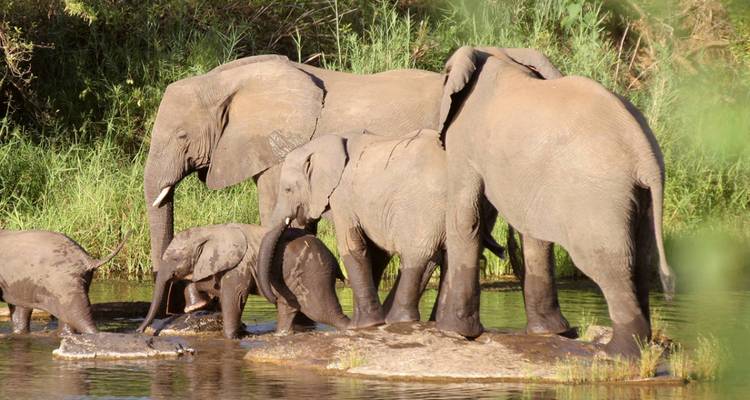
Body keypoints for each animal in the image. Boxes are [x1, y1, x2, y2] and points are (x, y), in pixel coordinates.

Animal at [137, 224, 350, 339]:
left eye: (175, 259)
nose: (139, 331)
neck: (208, 231)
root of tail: (333, 257)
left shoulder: (239, 266)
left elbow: (234, 296)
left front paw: (231, 337)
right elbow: (208, 284)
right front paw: (196, 305)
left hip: (313, 273)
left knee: (320, 310)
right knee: (287, 306)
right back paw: (281, 334)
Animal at [255, 130, 505, 328]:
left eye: (287, 190)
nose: (274, 298)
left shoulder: (343, 197)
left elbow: (352, 246)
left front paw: (362, 325)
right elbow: (374, 252)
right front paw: (367, 322)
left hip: (424, 205)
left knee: (418, 254)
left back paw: (399, 320)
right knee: (446, 256)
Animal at [433, 46, 676, 357]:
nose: (501, 251)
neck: (499, 54)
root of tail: (645, 152)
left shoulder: (465, 137)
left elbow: (466, 218)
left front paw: (452, 332)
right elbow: (533, 234)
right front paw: (551, 332)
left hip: (597, 196)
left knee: (608, 263)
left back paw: (618, 352)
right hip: (639, 196)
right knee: (642, 260)